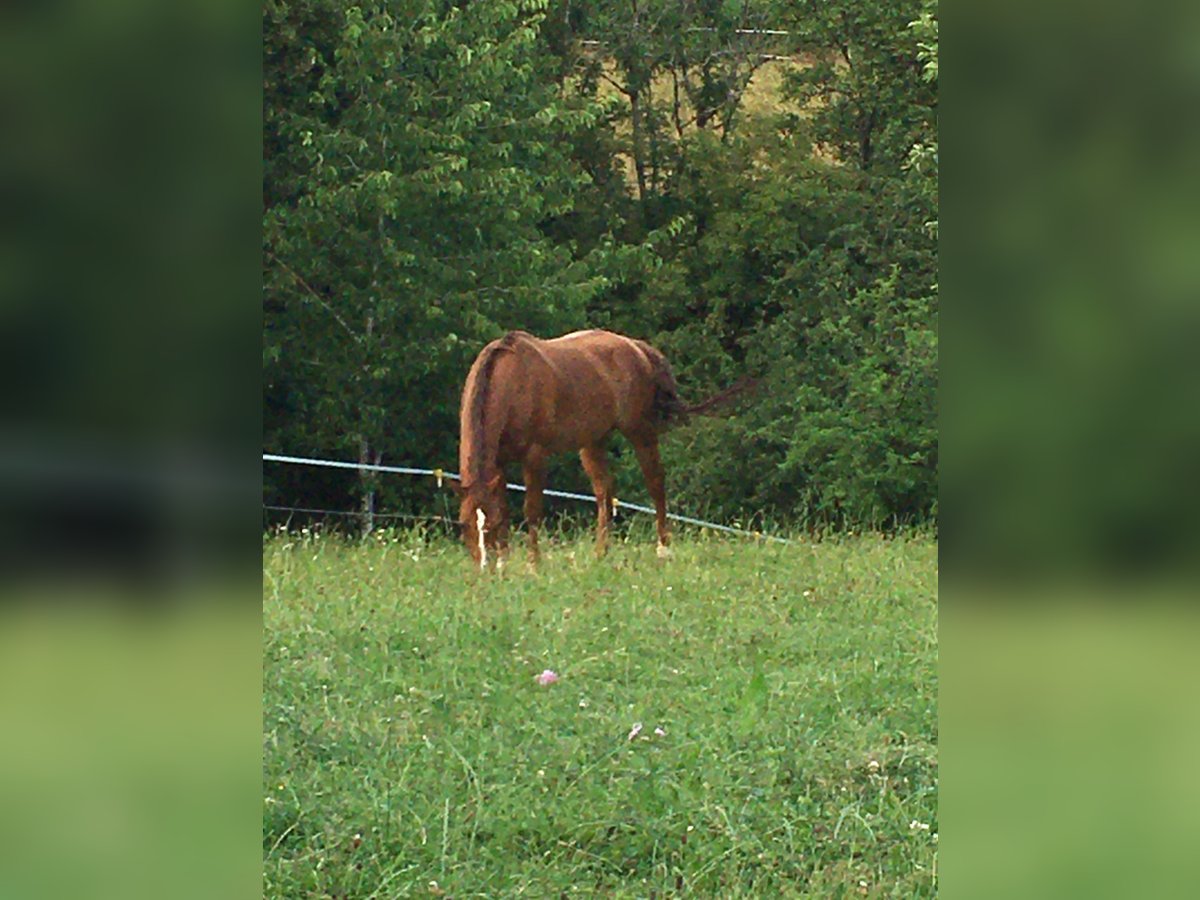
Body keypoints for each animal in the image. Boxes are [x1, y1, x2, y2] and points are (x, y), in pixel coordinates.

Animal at [453, 331, 691, 571]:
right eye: (463, 524)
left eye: (490, 524)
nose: (485, 569)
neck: (511, 382)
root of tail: (636, 347)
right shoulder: (498, 464)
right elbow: (503, 507)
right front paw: (504, 563)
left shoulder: (534, 456)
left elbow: (531, 511)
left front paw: (533, 564)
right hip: (593, 442)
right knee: (604, 492)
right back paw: (601, 554)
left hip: (640, 431)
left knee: (655, 483)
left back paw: (663, 550)